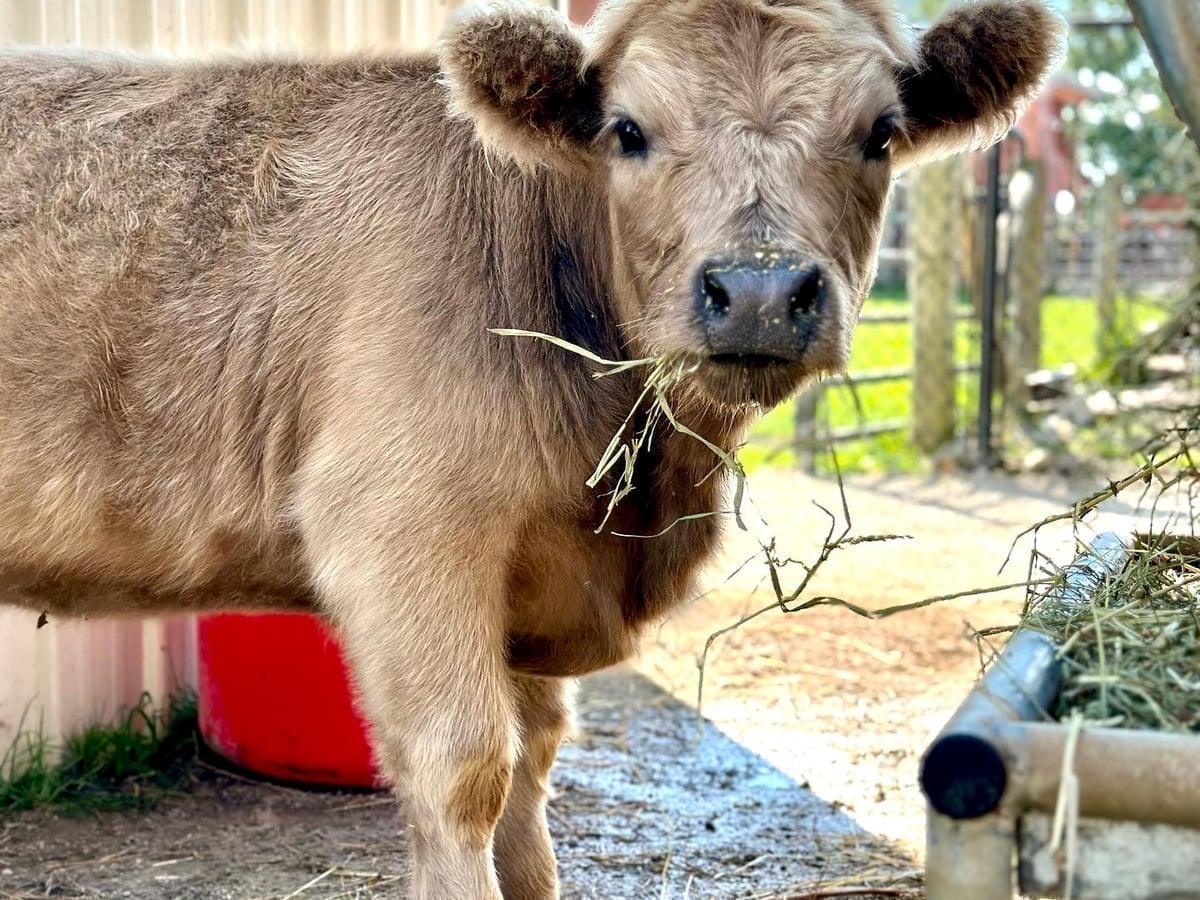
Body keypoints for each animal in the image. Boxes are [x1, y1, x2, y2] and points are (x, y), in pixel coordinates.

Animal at [0, 0, 1061, 896]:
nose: (759, 291)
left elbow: (537, 759)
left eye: (879, 132)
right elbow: (467, 768)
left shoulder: (533, 576)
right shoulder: (401, 533)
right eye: (627, 130)